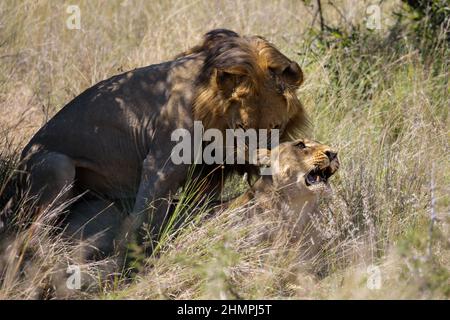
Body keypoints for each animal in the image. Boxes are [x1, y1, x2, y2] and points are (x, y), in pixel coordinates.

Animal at [15, 28, 308, 249]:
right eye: (240, 126)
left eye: (275, 127)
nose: (262, 160)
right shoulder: (161, 166)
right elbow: (146, 218)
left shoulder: (207, 175)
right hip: (57, 167)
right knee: (29, 234)